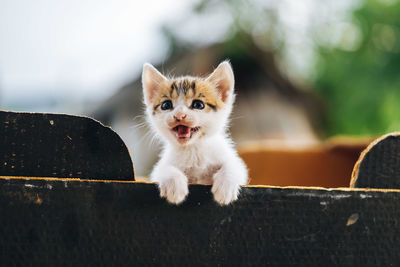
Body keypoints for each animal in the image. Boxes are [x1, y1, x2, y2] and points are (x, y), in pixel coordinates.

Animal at [141, 61, 247, 205]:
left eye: (198, 104)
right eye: (166, 105)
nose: (179, 115)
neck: (193, 149)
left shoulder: (233, 161)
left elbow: (234, 166)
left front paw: (225, 187)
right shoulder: (158, 170)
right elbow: (163, 168)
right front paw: (174, 184)